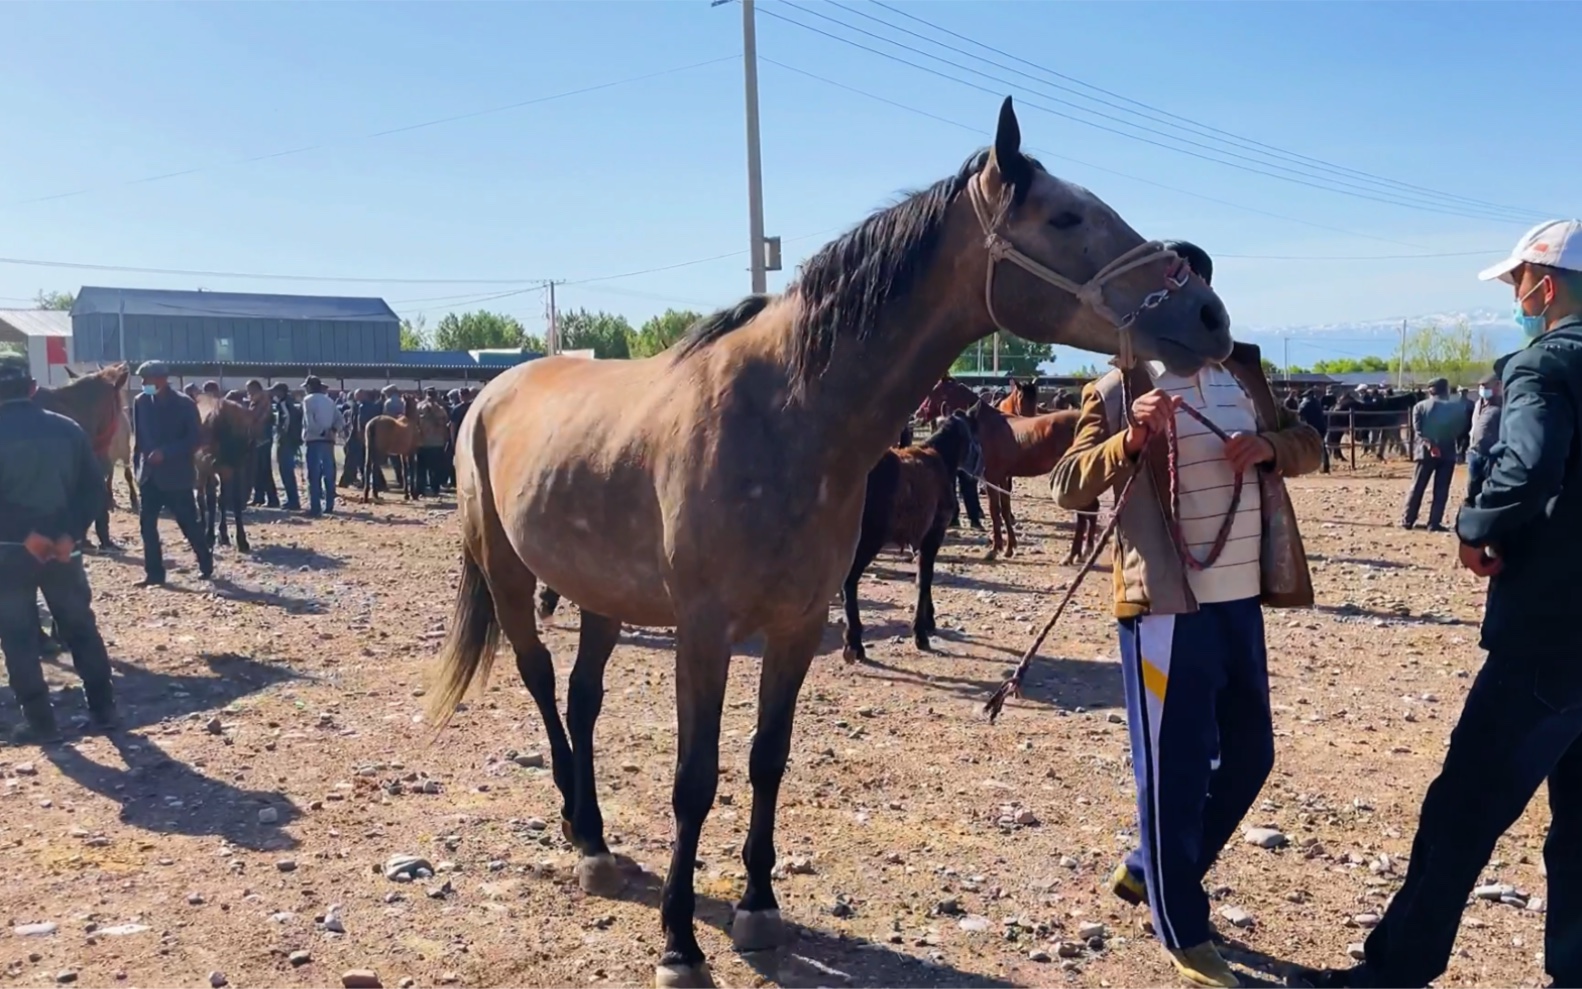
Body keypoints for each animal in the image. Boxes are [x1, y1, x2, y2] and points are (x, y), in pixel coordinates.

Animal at [841, 408, 974, 664]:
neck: (939, 459)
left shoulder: (922, 540)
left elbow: (924, 577)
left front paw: (929, 621)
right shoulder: (934, 534)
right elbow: (925, 578)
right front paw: (921, 633)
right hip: (865, 543)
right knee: (848, 582)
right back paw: (854, 643)